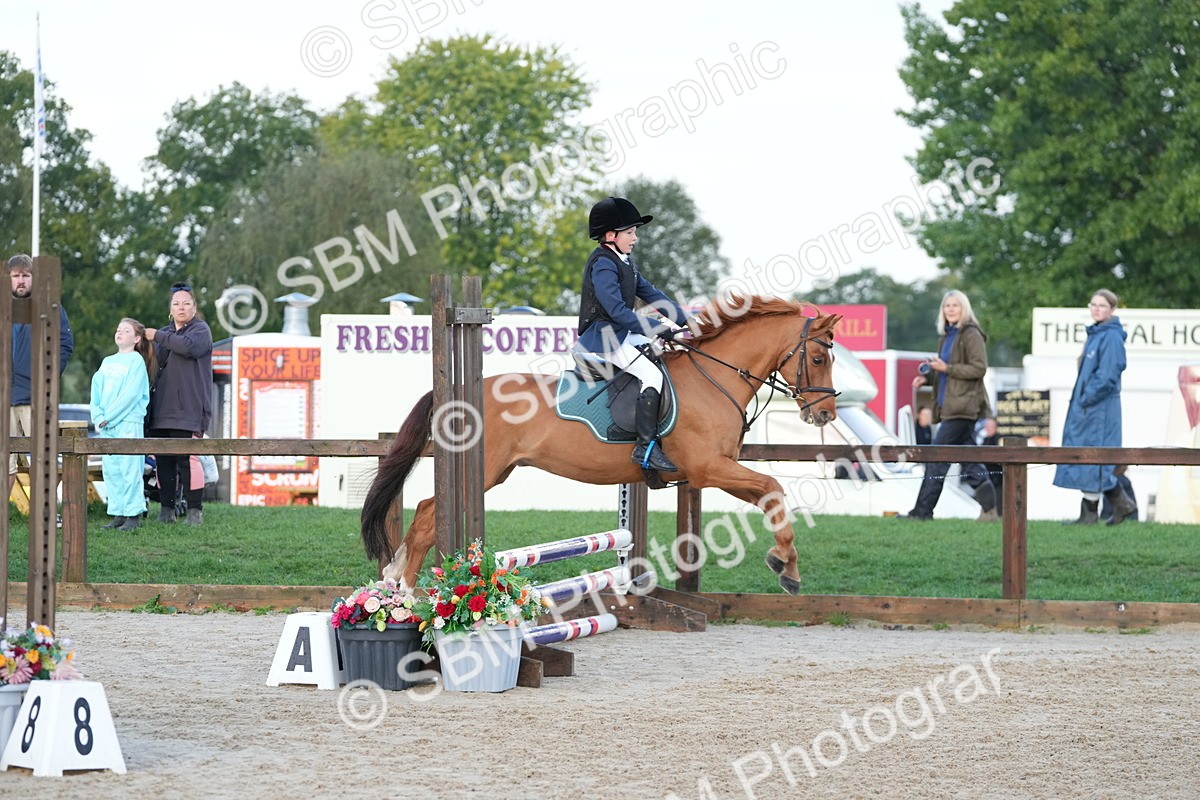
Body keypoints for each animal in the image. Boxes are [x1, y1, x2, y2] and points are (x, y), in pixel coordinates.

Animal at [360, 295, 842, 595]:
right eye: (818, 358)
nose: (825, 416)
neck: (714, 379)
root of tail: (460, 391)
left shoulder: (716, 471)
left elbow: (771, 495)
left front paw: (786, 566)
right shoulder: (708, 469)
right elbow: (774, 487)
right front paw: (786, 567)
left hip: (490, 471)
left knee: (426, 511)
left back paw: (395, 579)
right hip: (482, 471)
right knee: (429, 516)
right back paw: (407, 592)